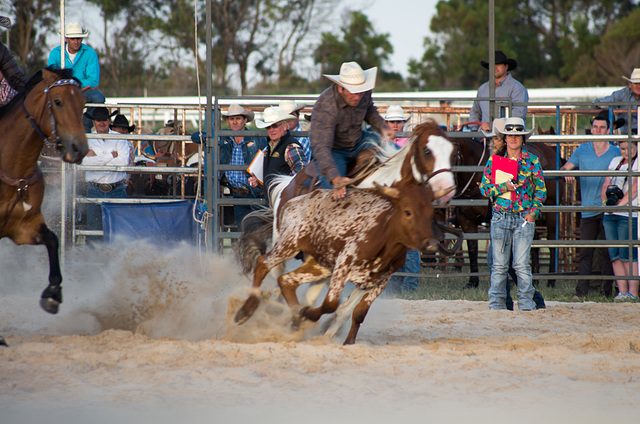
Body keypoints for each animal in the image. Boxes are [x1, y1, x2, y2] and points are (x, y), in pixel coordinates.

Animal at [0, 67, 89, 318]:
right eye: (57, 102)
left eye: (83, 103)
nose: (80, 148)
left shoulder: (24, 227)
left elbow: (52, 240)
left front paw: (52, 294)